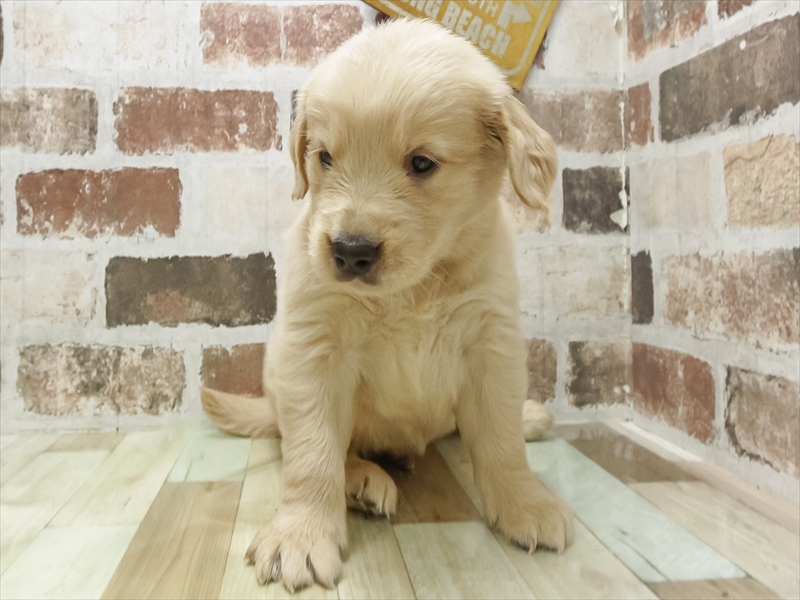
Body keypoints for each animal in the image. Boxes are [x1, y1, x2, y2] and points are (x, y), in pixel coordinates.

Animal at [201, 17, 573, 592]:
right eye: (325, 157)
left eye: (421, 163)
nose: (349, 251)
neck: (413, 288)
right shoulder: (314, 350)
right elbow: (313, 451)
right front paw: (300, 535)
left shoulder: (491, 341)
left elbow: (500, 437)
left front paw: (524, 502)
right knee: (304, 441)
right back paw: (361, 479)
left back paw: (529, 416)